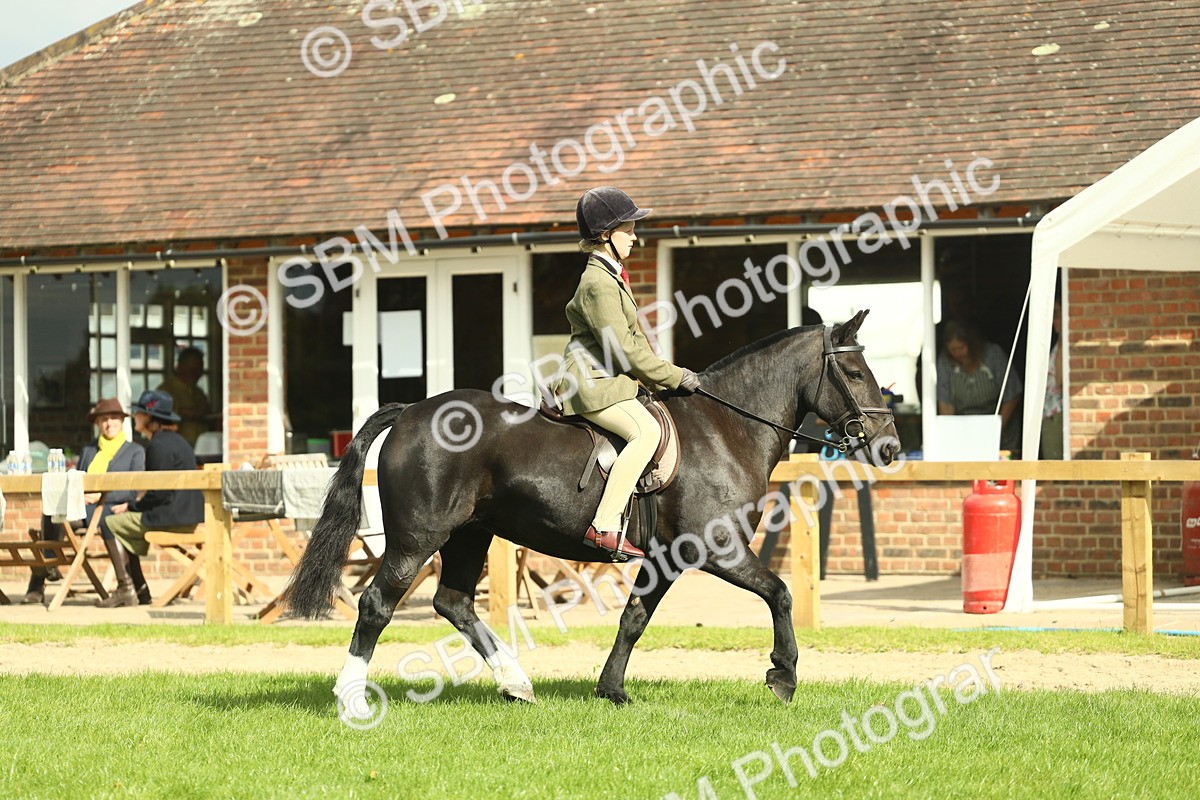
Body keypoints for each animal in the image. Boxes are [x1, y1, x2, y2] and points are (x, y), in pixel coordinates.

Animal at [281, 309, 900, 713]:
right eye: (854, 374)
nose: (891, 446)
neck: (726, 429)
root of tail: (412, 410)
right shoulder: (715, 549)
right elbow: (780, 593)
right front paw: (783, 677)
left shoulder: (667, 559)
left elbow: (633, 619)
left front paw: (611, 689)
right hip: (418, 538)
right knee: (377, 605)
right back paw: (353, 700)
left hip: (469, 536)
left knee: (453, 602)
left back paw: (516, 684)